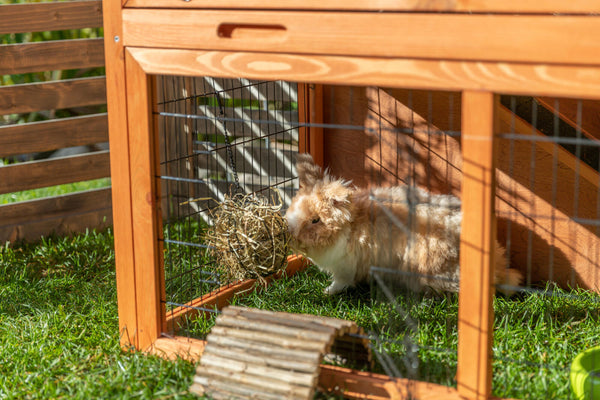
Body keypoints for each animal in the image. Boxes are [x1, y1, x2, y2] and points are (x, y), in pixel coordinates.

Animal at [286, 155, 520, 296]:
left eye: (315, 220)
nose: (291, 234)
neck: (350, 227)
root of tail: (497, 267)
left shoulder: (346, 267)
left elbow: (341, 282)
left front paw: (327, 292)